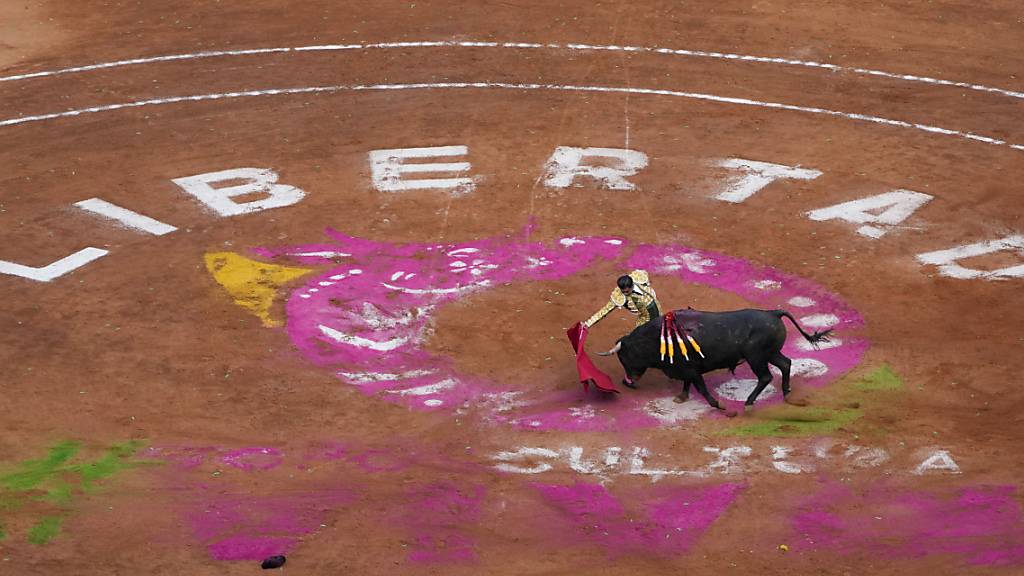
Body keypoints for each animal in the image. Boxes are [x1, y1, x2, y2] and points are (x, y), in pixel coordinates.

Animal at [598, 309, 831, 407]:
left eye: (624, 357)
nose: (628, 382)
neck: (657, 338)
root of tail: (773, 312)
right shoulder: (686, 369)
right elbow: (687, 384)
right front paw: (682, 397)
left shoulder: (691, 369)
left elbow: (700, 387)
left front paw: (717, 404)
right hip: (770, 353)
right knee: (785, 364)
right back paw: (786, 393)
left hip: (756, 357)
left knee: (765, 377)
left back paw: (748, 402)